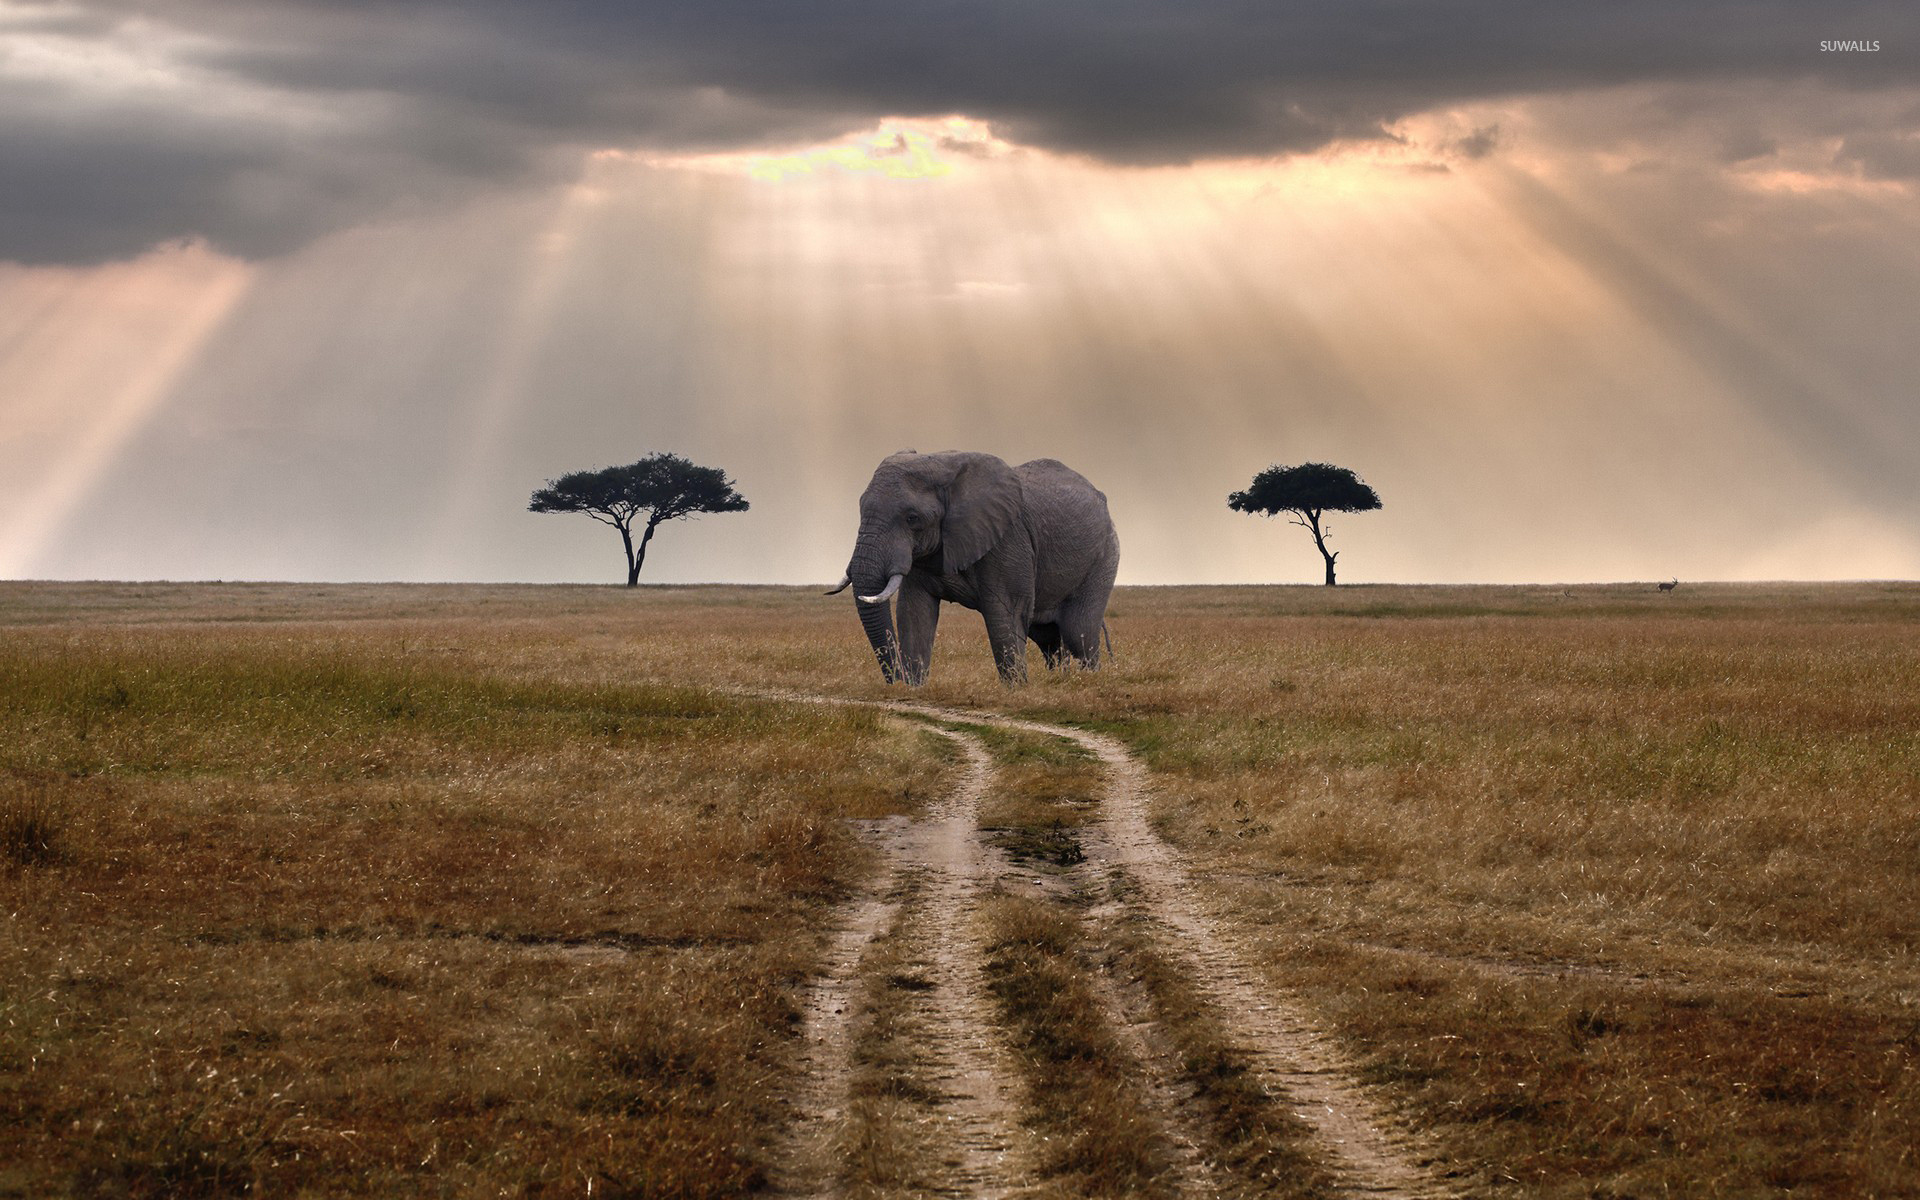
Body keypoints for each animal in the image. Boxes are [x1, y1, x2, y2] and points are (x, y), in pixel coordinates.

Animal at [827, 450, 1120, 685]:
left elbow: (1004, 614)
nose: (897, 680)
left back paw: (1088, 682)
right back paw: (1060, 681)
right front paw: (915, 688)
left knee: (1078, 633)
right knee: (1048, 638)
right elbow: (913, 613)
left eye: (912, 518)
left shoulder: (1007, 539)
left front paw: (1016, 690)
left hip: (1103, 556)